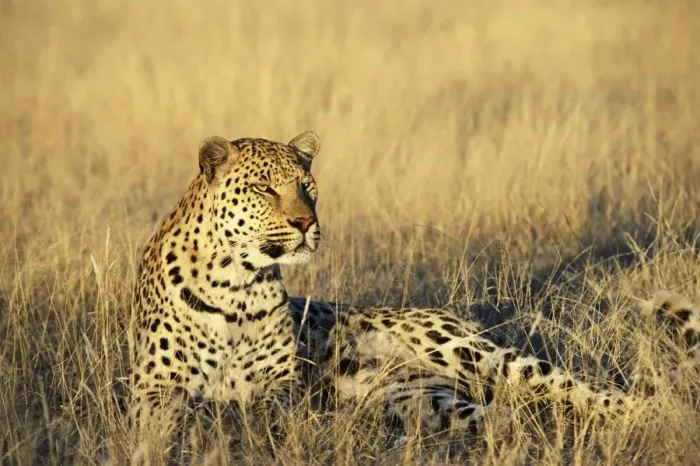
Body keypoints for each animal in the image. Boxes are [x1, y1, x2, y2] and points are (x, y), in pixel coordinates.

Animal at [129, 131, 700, 453]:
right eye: (264, 188)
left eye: (308, 188)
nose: (305, 224)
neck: (238, 284)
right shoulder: (151, 388)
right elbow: (178, 415)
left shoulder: (282, 386)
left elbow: (254, 411)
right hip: (422, 400)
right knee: (511, 418)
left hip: (483, 356)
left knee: (591, 390)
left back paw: (657, 417)